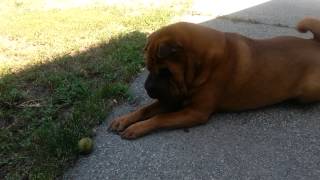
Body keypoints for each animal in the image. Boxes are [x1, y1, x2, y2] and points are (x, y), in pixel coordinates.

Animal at [109, 17, 320, 139]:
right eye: (148, 68)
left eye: (165, 71)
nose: (147, 88)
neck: (200, 64)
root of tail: (315, 44)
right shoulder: (172, 99)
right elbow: (145, 109)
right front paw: (124, 119)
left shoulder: (195, 112)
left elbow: (160, 117)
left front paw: (137, 128)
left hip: (308, 92)